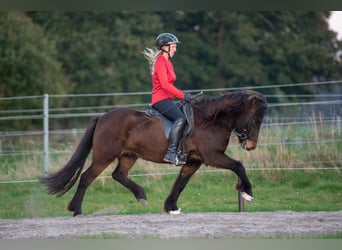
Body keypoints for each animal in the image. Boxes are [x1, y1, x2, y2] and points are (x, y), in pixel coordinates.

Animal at [39, 89, 268, 215]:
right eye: (255, 119)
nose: (251, 146)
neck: (211, 120)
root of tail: (102, 117)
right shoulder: (212, 156)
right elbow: (238, 165)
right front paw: (246, 192)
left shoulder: (193, 161)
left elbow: (181, 183)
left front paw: (171, 206)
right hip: (104, 156)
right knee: (87, 177)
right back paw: (77, 210)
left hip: (129, 156)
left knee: (118, 175)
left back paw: (140, 196)